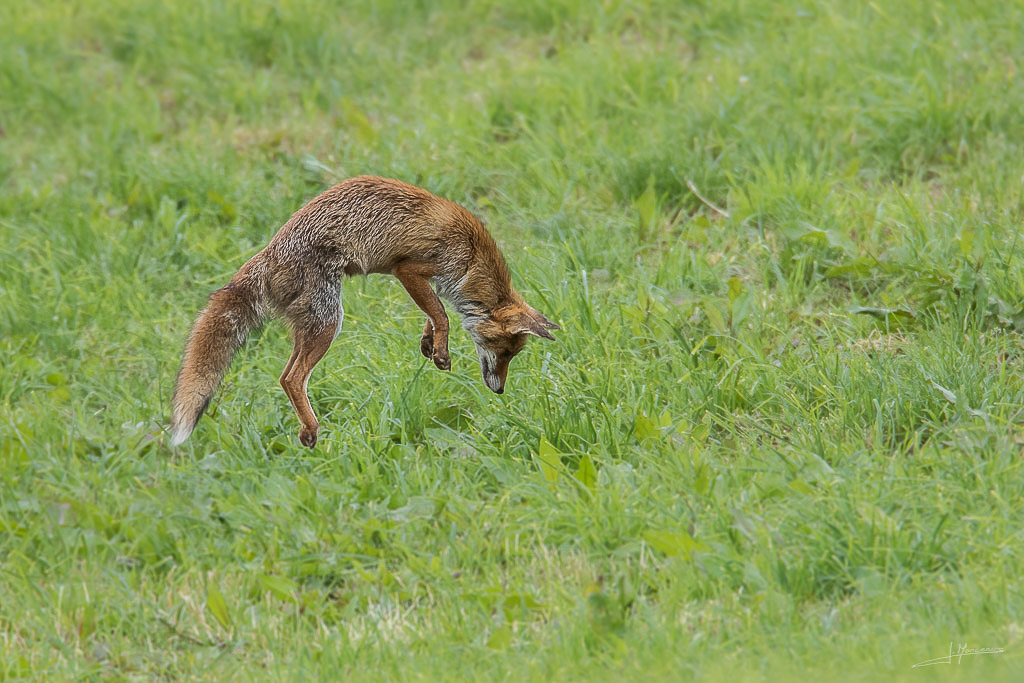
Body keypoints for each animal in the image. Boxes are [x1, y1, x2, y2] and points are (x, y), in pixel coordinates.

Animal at [173, 176, 565, 448]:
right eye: (505, 351)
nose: (499, 391)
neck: (470, 255)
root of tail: (268, 253)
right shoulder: (409, 269)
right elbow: (442, 314)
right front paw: (441, 351)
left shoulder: (423, 280)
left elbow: (434, 313)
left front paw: (429, 343)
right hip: (329, 323)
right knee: (292, 378)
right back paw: (311, 428)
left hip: (310, 327)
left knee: (284, 376)